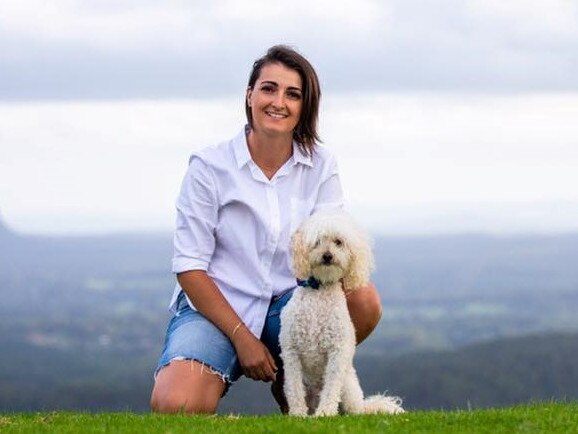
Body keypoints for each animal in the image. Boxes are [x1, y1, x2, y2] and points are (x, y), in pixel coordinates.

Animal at [278, 211, 402, 418]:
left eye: (339, 242)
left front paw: (325, 413)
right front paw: (297, 414)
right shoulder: (291, 351)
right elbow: (294, 388)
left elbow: (331, 388)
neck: (319, 290)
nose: (327, 256)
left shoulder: (337, 352)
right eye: (317, 241)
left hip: (348, 387)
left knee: (352, 409)